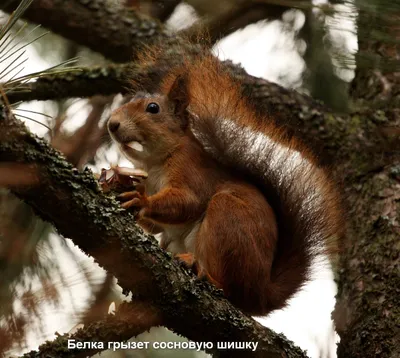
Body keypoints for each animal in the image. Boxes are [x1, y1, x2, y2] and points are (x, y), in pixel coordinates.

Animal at [107, 51, 344, 314]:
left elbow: (188, 202)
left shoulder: (191, 170)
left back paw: (202, 271)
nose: (112, 124)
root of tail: (260, 295)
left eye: (152, 108)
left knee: (228, 288)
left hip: (228, 220)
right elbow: (156, 226)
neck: (156, 162)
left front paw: (142, 200)